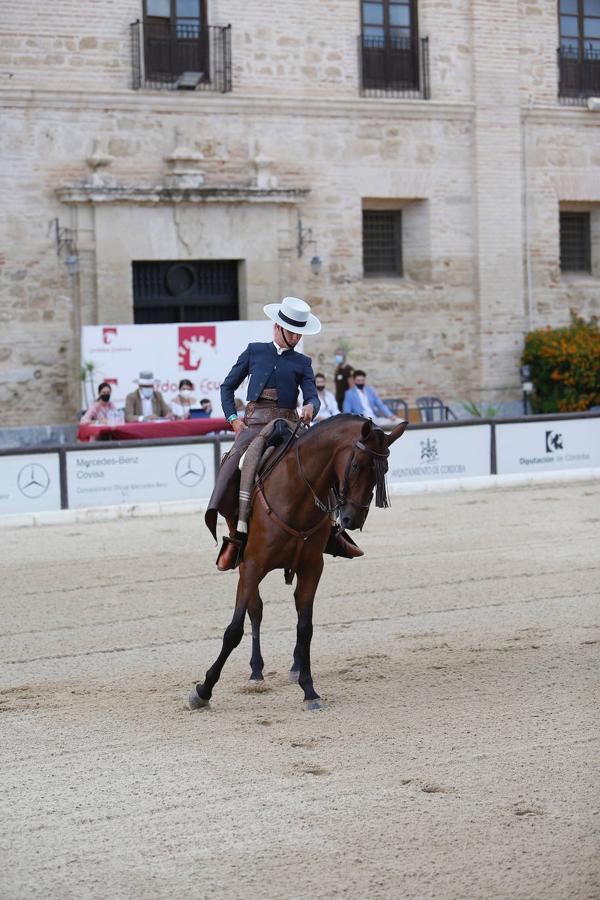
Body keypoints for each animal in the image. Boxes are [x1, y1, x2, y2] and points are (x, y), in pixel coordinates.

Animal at [190, 414, 406, 712]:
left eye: (382, 470)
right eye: (355, 465)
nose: (352, 519)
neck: (296, 495)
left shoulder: (312, 568)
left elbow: (305, 628)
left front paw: (309, 688)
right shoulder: (252, 566)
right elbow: (234, 630)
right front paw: (203, 690)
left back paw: (294, 666)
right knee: (255, 610)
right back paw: (256, 671)